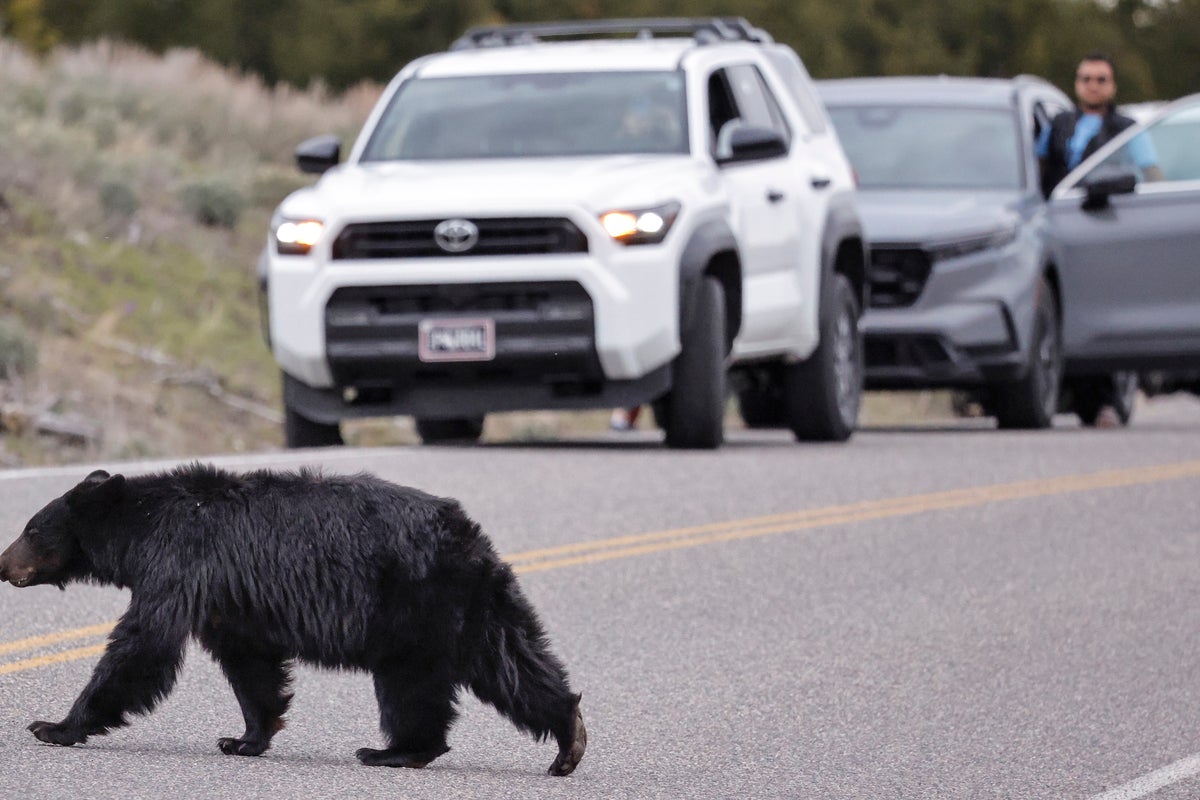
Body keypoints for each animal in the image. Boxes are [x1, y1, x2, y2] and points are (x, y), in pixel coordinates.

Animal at [0, 463, 586, 776]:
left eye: (30, 528)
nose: (3, 564)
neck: (141, 525)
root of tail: (467, 533)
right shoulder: (228, 601)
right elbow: (250, 664)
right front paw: (245, 738)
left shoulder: (179, 563)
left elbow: (142, 647)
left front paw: (54, 725)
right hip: (475, 605)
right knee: (514, 663)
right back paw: (569, 739)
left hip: (413, 605)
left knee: (412, 683)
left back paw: (392, 751)